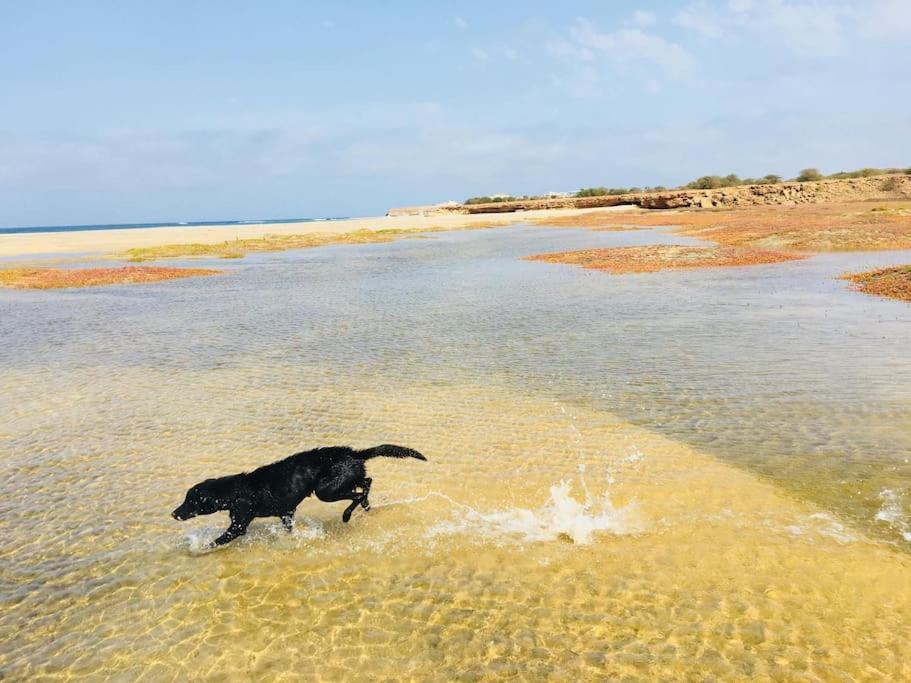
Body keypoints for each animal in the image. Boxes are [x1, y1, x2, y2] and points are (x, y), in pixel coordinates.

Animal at [171, 446, 428, 548]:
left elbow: (219, 539)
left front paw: (200, 547)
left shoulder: (239, 524)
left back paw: (347, 515)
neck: (234, 491)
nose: (174, 513)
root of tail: (354, 453)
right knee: (366, 483)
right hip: (344, 481)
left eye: (190, 500)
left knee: (357, 493)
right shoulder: (286, 513)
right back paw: (365, 505)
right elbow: (288, 528)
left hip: (327, 490)